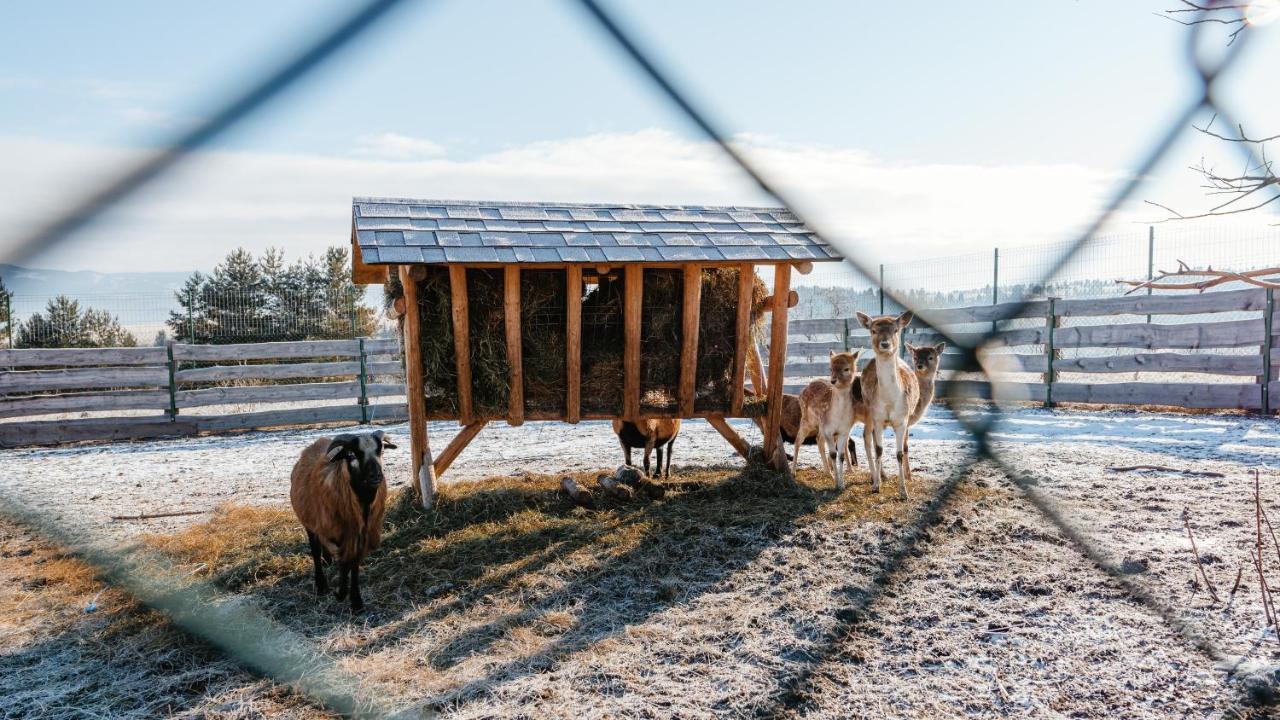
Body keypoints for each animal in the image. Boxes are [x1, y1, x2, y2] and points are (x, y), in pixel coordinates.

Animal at [290, 427, 394, 607]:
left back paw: (327, 560)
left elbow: (353, 565)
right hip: (309, 522)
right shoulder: (341, 535)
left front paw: (356, 600)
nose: (376, 476)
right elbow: (344, 563)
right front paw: (341, 593)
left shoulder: (359, 536)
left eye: (380, 451)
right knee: (315, 550)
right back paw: (321, 584)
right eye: (351, 455)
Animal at [860, 308, 921, 499]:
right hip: (868, 411)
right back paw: (877, 476)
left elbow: (899, 453)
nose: (885, 344)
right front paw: (876, 486)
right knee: (868, 439)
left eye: (895, 330)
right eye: (873, 330)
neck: (888, 401)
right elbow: (879, 449)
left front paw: (904, 492)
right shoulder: (878, 418)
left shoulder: (902, 419)